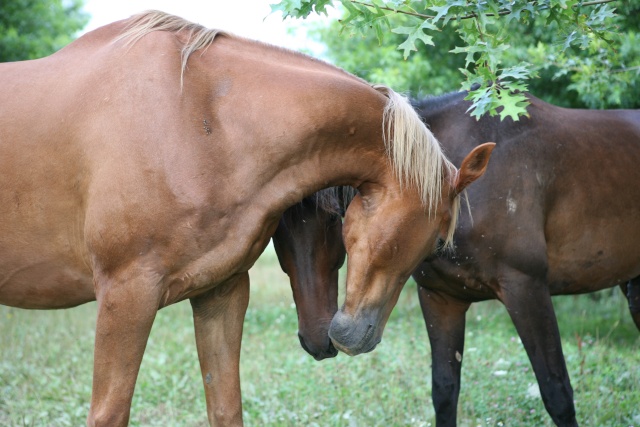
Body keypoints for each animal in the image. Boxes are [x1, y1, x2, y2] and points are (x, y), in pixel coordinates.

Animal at [0, 10, 496, 427]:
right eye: (434, 240)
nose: (354, 337)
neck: (195, 118)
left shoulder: (221, 293)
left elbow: (225, 408)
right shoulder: (126, 295)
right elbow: (110, 412)